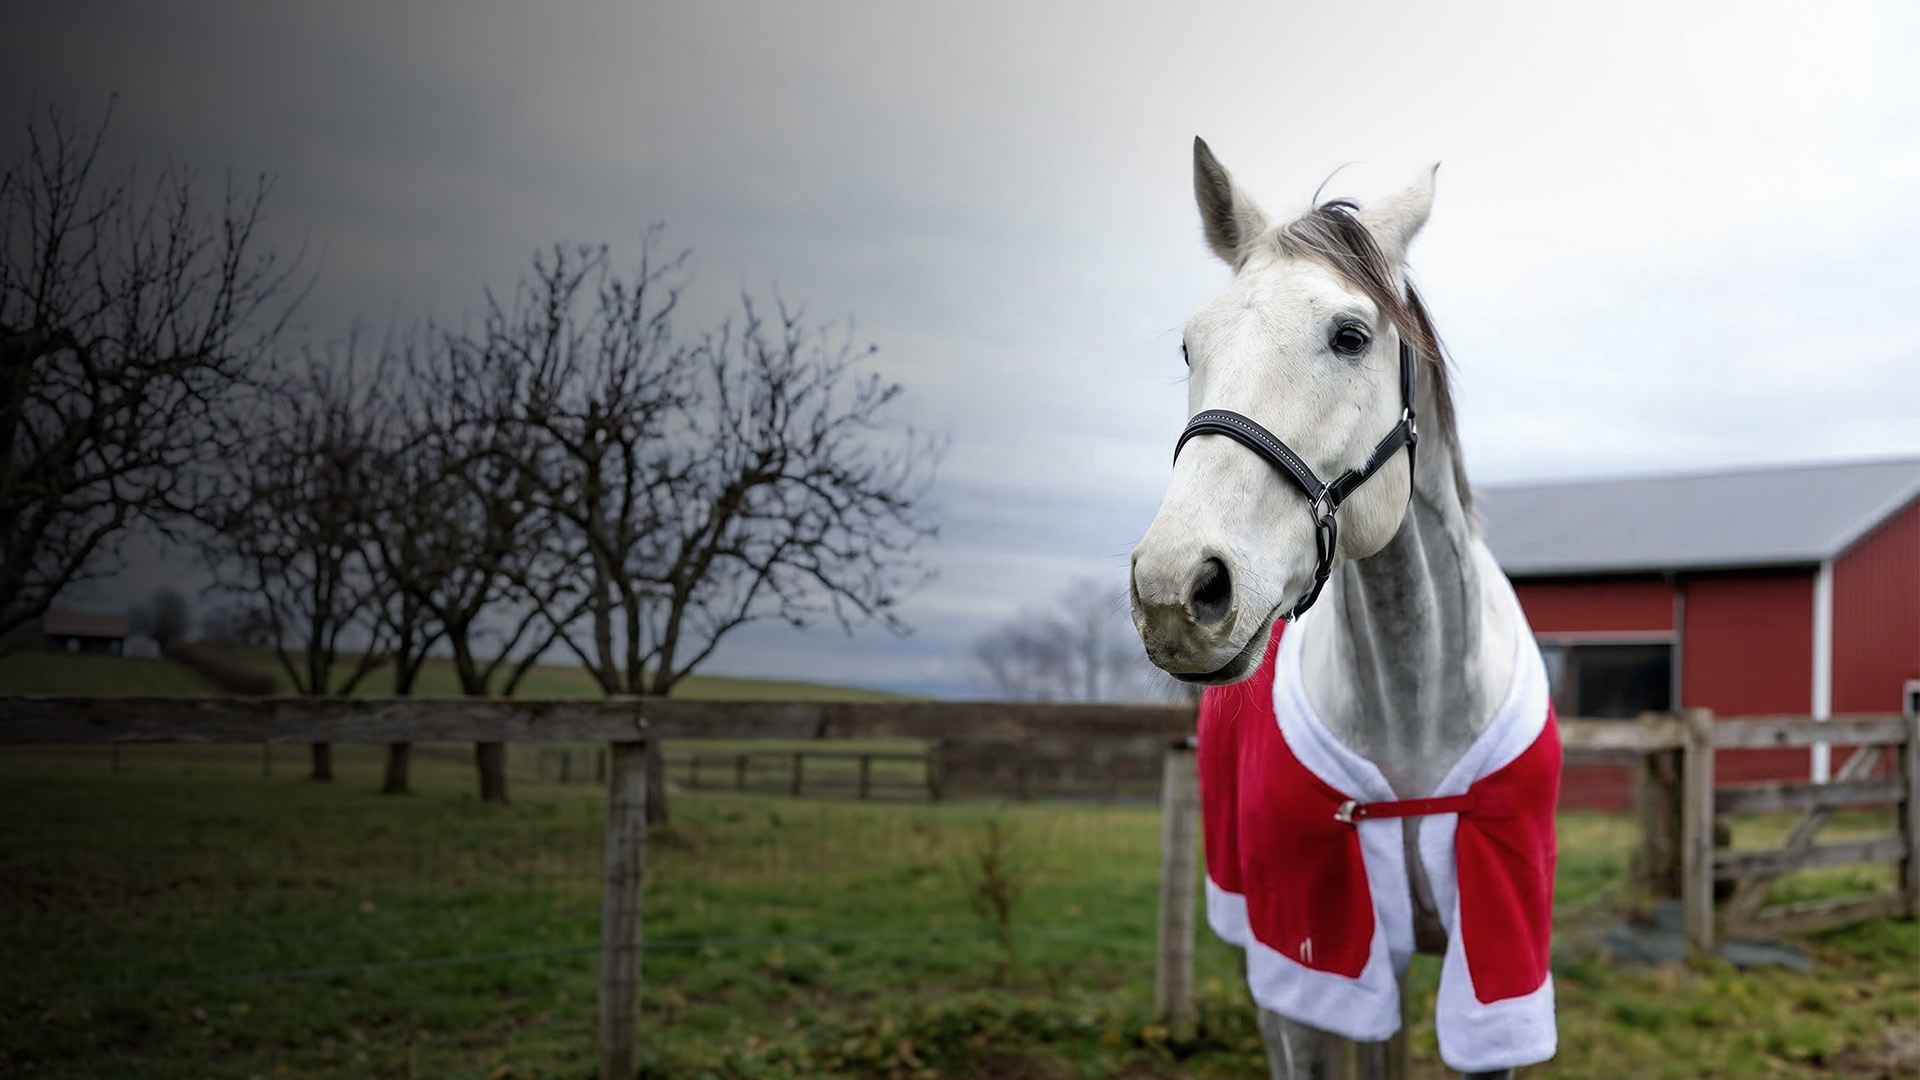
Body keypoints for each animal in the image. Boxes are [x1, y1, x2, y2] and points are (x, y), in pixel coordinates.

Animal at [1129, 138, 1559, 1080]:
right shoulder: (1313, 965)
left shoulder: (1497, 967)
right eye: (1190, 345)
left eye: (1351, 336)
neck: (1416, 701)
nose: (1175, 589)